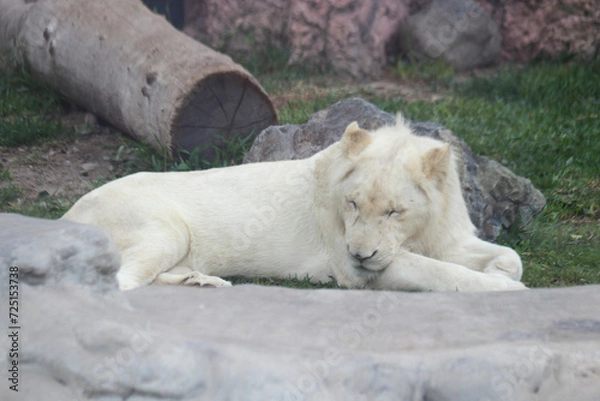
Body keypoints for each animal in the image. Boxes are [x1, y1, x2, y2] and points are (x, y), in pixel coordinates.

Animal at [63, 116, 524, 290]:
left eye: (394, 211)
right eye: (353, 205)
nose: (360, 253)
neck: (417, 233)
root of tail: (66, 215)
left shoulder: (446, 238)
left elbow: (510, 255)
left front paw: (500, 271)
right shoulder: (357, 273)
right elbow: (444, 274)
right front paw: (507, 289)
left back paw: (202, 281)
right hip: (166, 230)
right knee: (116, 282)